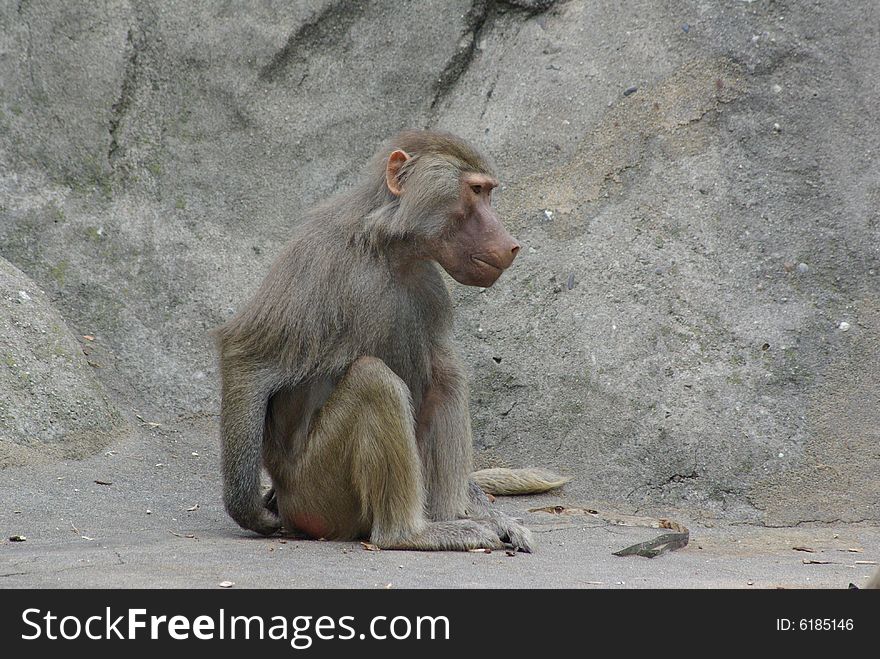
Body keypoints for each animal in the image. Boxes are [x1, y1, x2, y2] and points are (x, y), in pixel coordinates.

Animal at [217, 129, 568, 552]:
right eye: (475, 190)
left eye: (488, 193)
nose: (511, 245)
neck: (387, 247)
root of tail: (286, 499)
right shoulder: (319, 260)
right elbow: (245, 354)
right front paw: (247, 508)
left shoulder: (429, 286)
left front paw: (495, 516)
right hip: (316, 492)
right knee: (374, 382)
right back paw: (411, 533)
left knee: (445, 373)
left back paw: (453, 517)